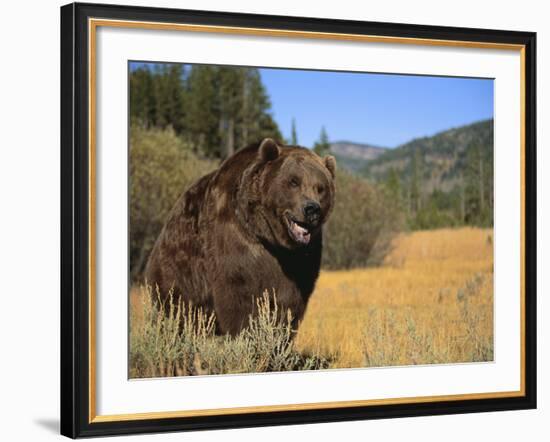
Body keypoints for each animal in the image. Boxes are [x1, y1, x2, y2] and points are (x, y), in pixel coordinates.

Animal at [144, 138, 336, 334]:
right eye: (293, 182)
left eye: (320, 188)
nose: (312, 209)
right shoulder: (236, 240)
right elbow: (241, 297)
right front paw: (248, 332)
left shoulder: (301, 260)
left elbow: (289, 303)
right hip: (180, 266)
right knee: (175, 306)